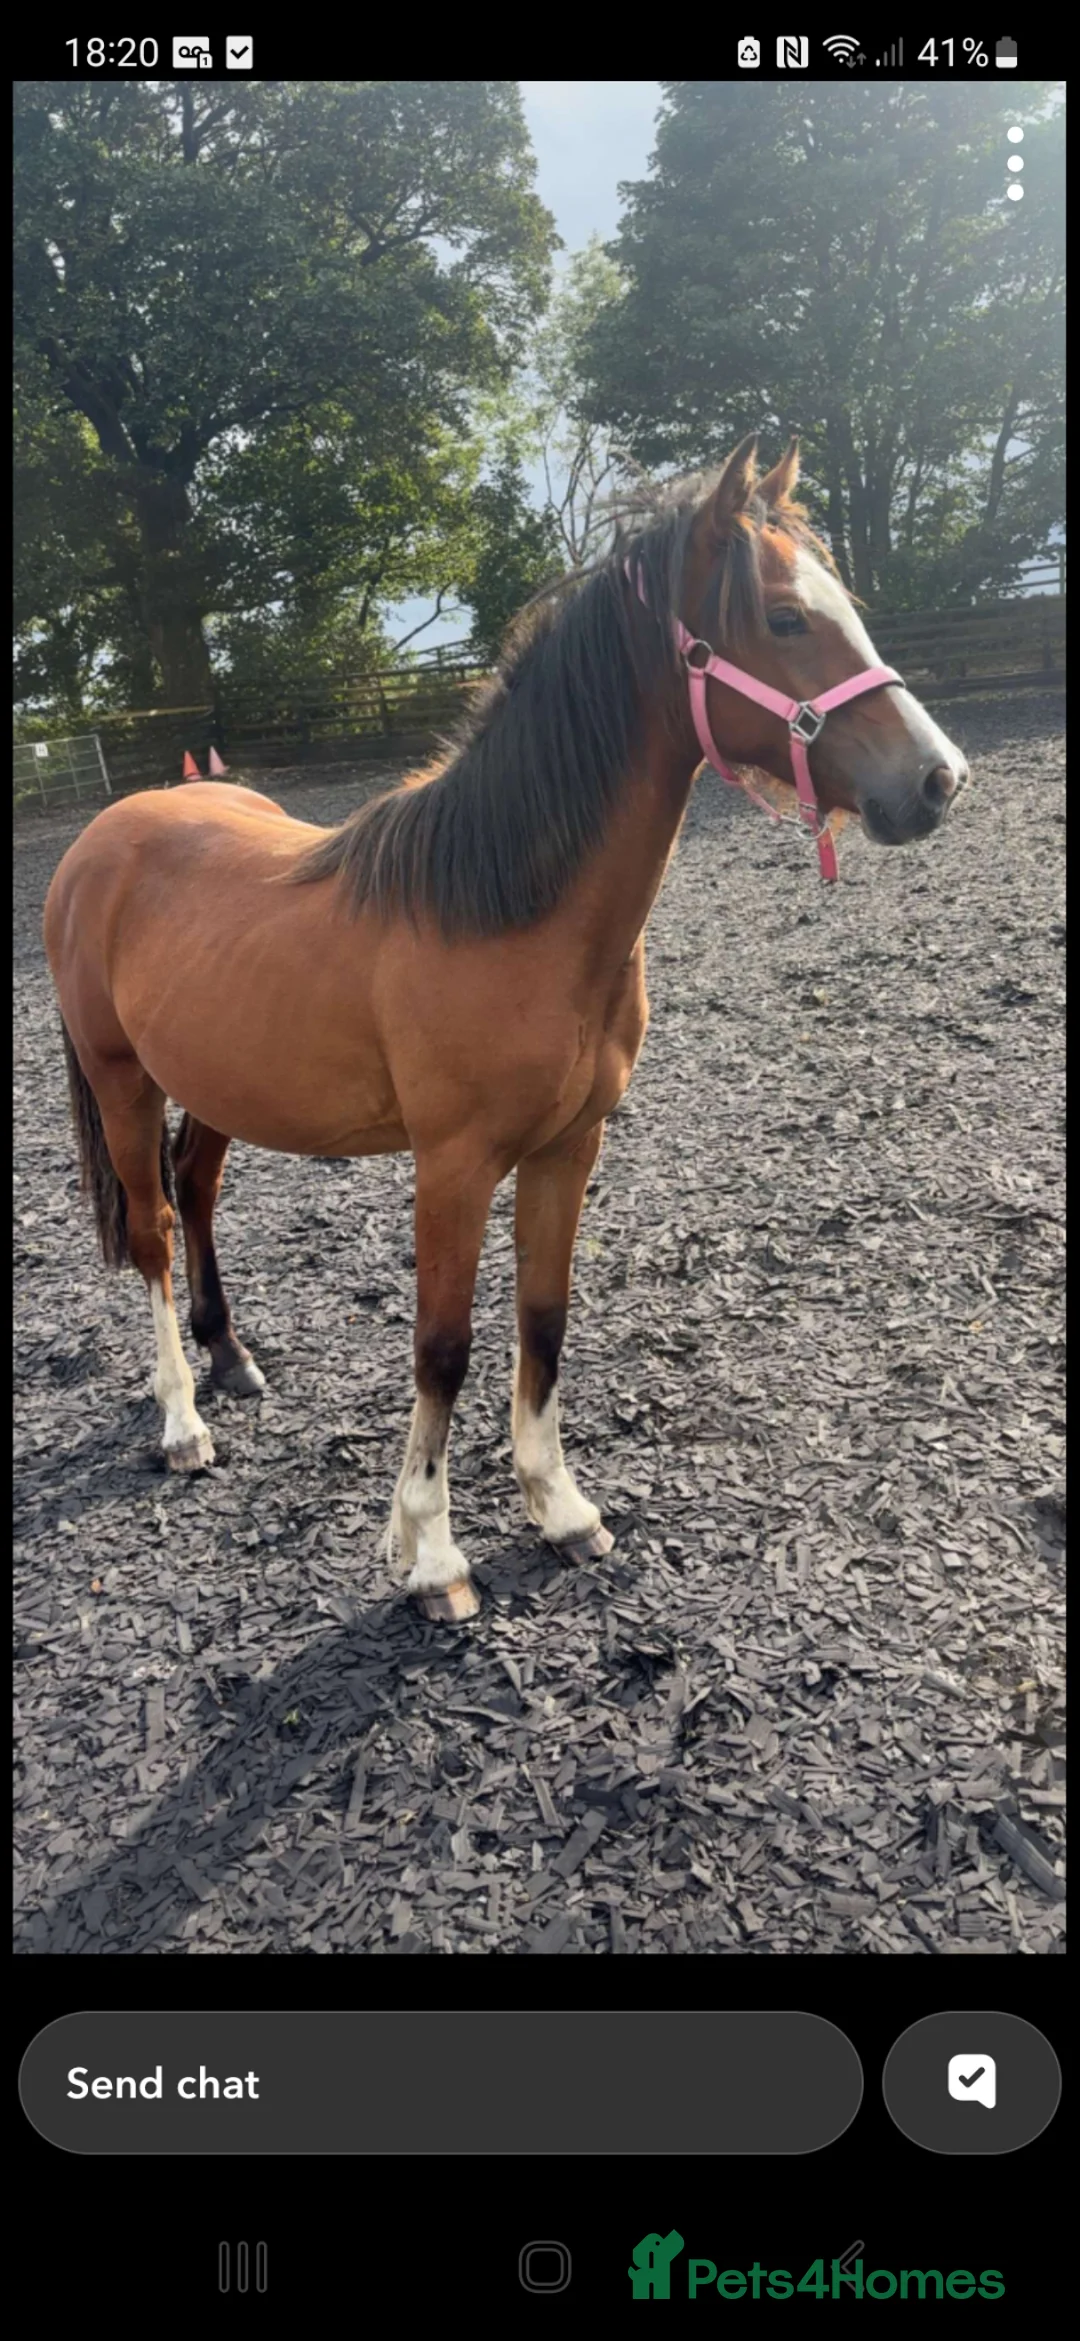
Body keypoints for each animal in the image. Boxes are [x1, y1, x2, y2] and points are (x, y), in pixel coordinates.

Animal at [43, 435, 969, 1624]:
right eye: (784, 618)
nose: (939, 779)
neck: (508, 909)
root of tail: (106, 834)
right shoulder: (453, 1165)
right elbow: (443, 1347)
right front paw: (433, 1555)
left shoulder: (569, 1147)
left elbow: (544, 1318)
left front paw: (560, 1508)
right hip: (123, 1079)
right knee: (154, 1228)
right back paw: (181, 1422)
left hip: (214, 1083)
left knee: (195, 1196)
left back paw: (233, 1360)